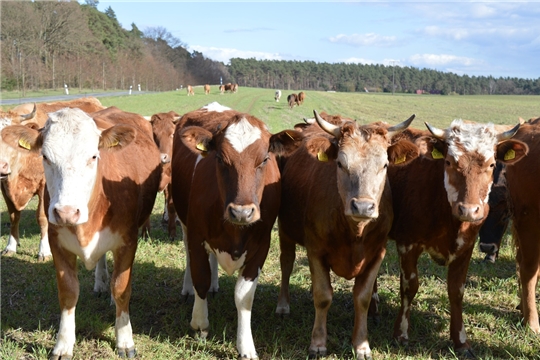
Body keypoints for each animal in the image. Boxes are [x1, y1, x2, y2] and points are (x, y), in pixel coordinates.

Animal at [1, 107, 161, 358]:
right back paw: (100, 281)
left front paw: (125, 341)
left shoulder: (128, 241)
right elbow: (68, 292)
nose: (66, 212)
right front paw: (63, 344)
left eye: (93, 156)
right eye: (45, 157)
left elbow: (121, 288)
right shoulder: (58, 244)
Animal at [170, 100, 304, 358]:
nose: (241, 212)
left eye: (264, 159)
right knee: (190, 260)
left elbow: (243, 296)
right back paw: (187, 288)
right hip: (183, 221)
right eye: (220, 159)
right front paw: (200, 324)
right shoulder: (196, 235)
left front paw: (246, 346)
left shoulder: (261, 245)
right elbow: (200, 277)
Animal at [274, 111, 418, 358]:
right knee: (287, 262)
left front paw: (361, 344)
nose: (362, 206)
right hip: (285, 228)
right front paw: (318, 343)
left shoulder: (377, 253)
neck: (354, 233)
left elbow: (362, 297)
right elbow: (323, 296)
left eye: (385, 165)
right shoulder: (315, 250)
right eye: (340, 163)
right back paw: (283, 305)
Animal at [388, 119, 528, 356]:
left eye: (492, 164)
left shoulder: (466, 249)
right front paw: (401, 333)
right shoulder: (407, 244)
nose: (469, 210)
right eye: (449, 162)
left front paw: (460, 340)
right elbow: (409, 286)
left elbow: (456, 290)